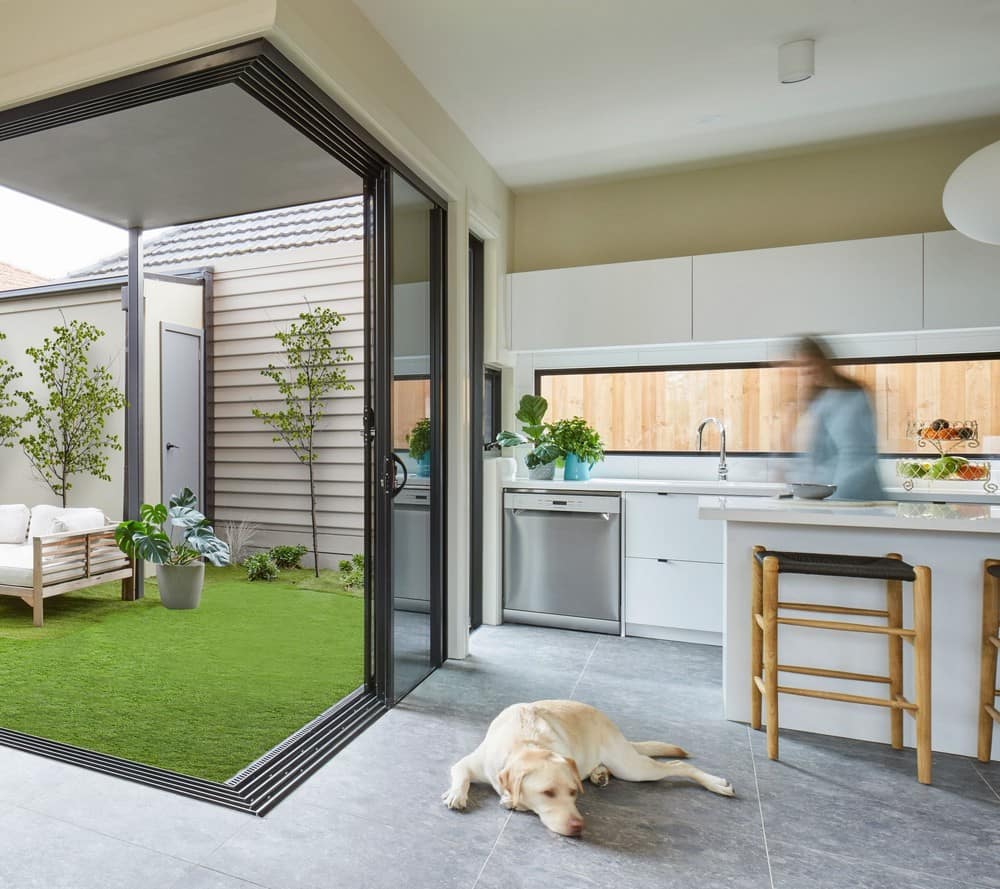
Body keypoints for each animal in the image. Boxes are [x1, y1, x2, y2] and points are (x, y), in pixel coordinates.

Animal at [444, 696, 736, 836]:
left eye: (573, 794)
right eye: (547, 793)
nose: (578, 826)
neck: (526, 743)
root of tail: (610, 723)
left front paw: (509, 801)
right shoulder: (471, 762)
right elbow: (460, 772)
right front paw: (457, 794)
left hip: (632, 768)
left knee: (676, 764)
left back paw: (716, 783)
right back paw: (599, 773)